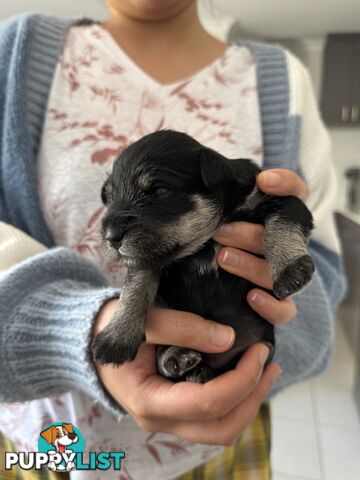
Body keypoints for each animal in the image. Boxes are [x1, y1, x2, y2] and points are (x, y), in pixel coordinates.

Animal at [91, 128, 314, 382]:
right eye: (108, 198)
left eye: (160, 190)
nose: (111, 236)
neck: (203, 241)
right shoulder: (147, 257)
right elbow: (136, 285)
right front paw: (116, 336)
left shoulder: (277, 198)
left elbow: (281, 222)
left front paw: (290, 269)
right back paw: (176, 358)